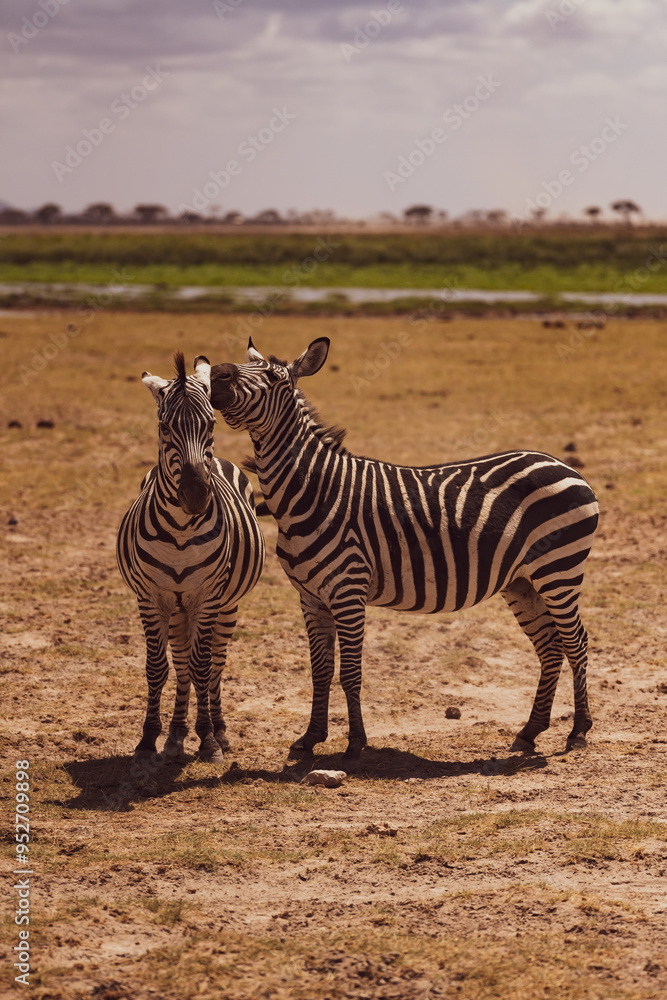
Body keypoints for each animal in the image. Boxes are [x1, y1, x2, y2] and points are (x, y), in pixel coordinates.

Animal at [117, 352, 265, 762]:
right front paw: (149, 739)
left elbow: (203, 667)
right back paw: (176, 734)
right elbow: (157, 668)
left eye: (211, 424)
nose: (197, 496)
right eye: (165, 427)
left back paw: (218, 729)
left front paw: (209, 739)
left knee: (215, 663)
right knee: (181, 662)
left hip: (225, 606)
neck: (182, 532)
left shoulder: (207, 596)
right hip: (177, 609)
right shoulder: (151, 598)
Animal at [209, 337, 599, 760]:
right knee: (550, 647)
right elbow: (320, 671)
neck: (313, 492)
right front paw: (310, 738)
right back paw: (530, 732)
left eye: (273, 377)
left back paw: (578, 731)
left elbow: (350, 673)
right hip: (523, 581)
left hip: (558, 569)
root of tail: (565, 465)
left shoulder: (348, 590)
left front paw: (355, 744)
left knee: (576, 642)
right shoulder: (310, 597)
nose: (218, 373)